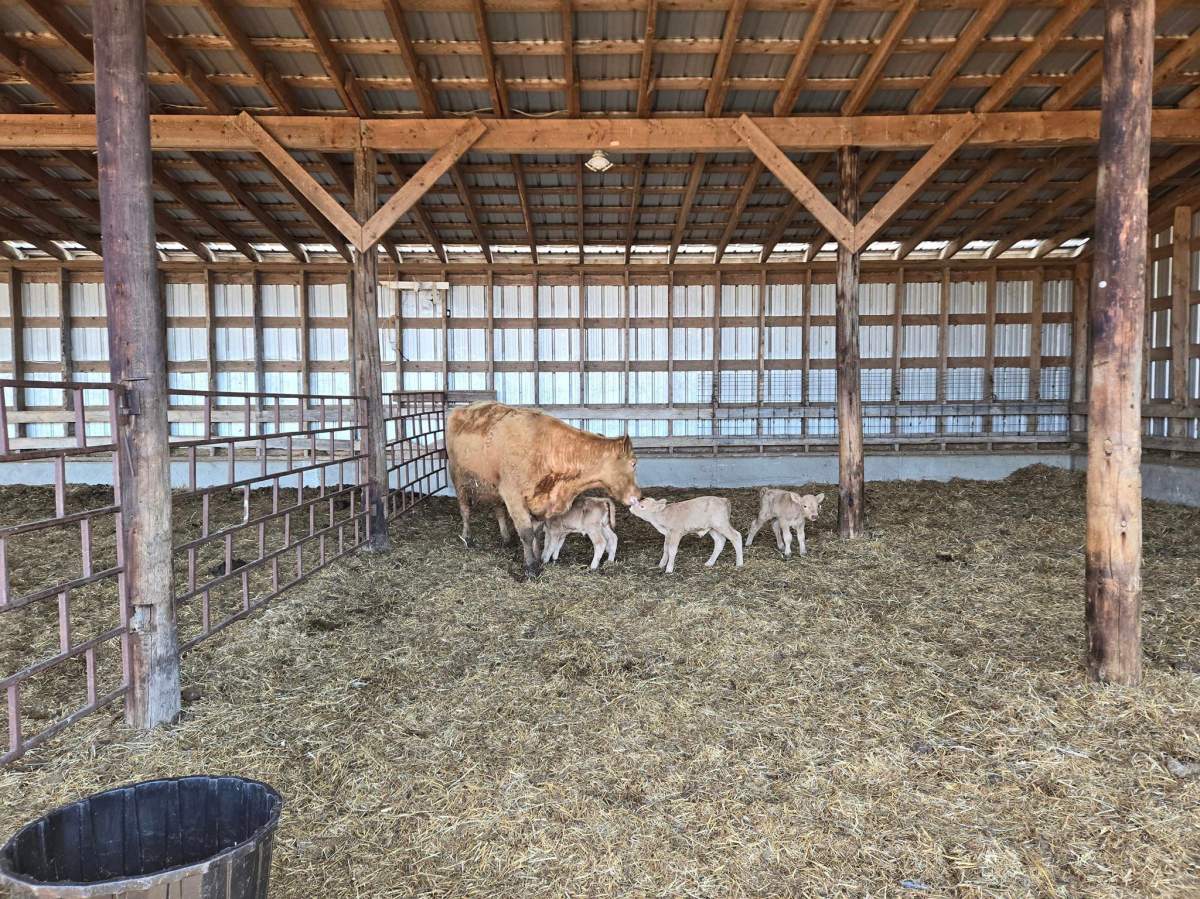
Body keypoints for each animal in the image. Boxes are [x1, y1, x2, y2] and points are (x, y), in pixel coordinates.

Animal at [446, 401, 641, 578]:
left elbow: (537, 533)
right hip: (459, 479)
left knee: (499, 510)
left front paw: (539, 557)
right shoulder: (514, 497)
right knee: (465, 510)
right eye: (633, 463)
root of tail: (462, 408)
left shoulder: (540, 502)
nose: (638, 495)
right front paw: (531, 567)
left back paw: (506, 539)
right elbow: (526, 533)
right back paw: (467, 538)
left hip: (493, 488)